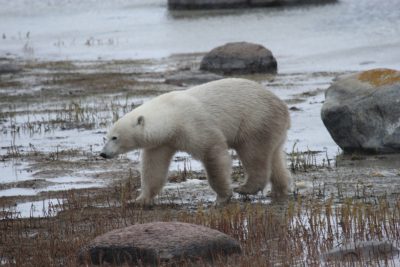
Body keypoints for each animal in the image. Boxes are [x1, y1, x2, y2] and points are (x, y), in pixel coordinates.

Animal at [101, 78, 290, 206]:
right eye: (106, 136)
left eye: (115, 137)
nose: (103, 153)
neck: (171, 116)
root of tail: (283, 108)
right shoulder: (163, 142)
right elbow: (153, 168)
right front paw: (139, 200)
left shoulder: (193, 125)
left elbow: (213, 152)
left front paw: (222, 197)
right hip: (272, 128)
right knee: (274, 157)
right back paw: (279, 190)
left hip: (255, 120)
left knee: (253, 153)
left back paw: (245, 188)